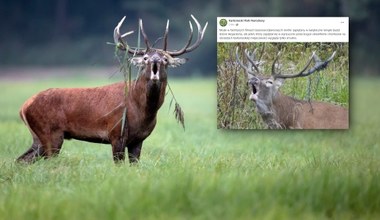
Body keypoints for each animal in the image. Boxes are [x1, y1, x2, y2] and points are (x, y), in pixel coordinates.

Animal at [17, 15, 208, 163]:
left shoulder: (138, 140)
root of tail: (24, 107)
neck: (142, 110)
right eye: (145, 58)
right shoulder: (116, 133)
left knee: (22, 160)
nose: (155, 59)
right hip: (51, 133)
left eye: (166, 59)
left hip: (39, 137)